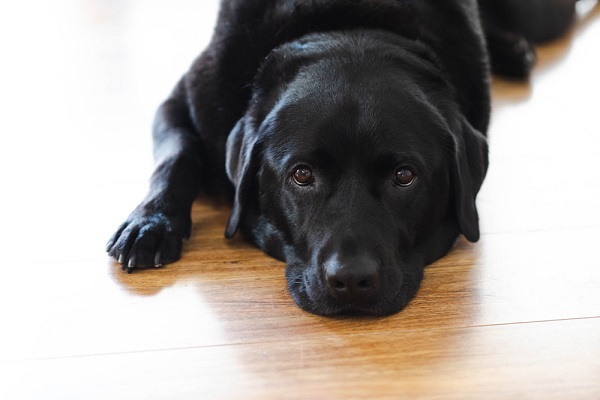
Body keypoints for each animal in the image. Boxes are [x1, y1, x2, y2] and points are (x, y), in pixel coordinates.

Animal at [106, 0, 580, 316]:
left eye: (404, 176)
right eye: (301, 174)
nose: (351, 279)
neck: (350, 25)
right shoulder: (180, 103)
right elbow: (177, 158)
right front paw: (150, 225)